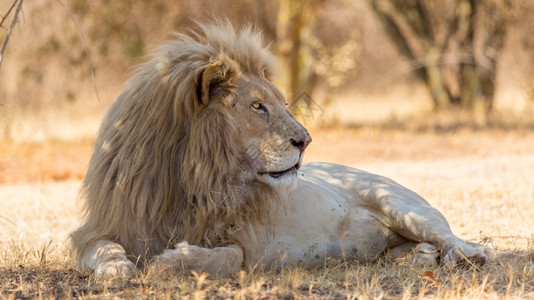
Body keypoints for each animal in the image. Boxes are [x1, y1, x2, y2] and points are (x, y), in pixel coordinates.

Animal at [72, 21, 494, 278]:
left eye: (282, 104)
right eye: (258, 106)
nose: (306, 140)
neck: (193, 181)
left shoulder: (252, 246)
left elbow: (229, 256)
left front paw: (172, 262)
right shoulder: (108, 226)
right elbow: (104, 249)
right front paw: (117, 269)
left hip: (402, 204)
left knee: (450, 236)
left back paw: (467, 255)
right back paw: (420, 256)